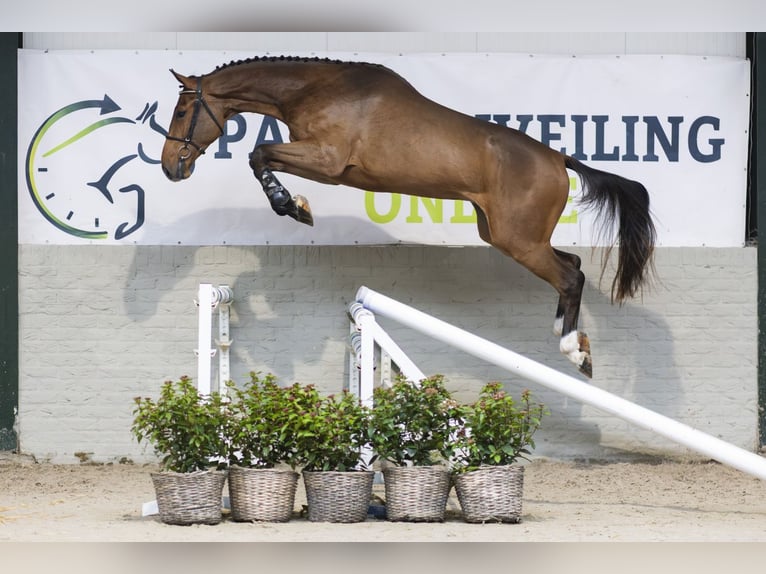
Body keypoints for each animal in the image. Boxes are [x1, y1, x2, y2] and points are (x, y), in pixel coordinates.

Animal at [161, 56, 656, 378]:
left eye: (182, 110)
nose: (170, 167)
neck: (314, 88)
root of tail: (559, 159)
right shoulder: (321, 162)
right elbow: (260, 155)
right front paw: (295, 204)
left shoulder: (327, 162)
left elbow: (258, 153)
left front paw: (292, 206)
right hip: (505, 234)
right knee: (572, 265)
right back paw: (572, 340)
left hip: (519, 240)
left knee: (570, 275)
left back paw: (573, 350)